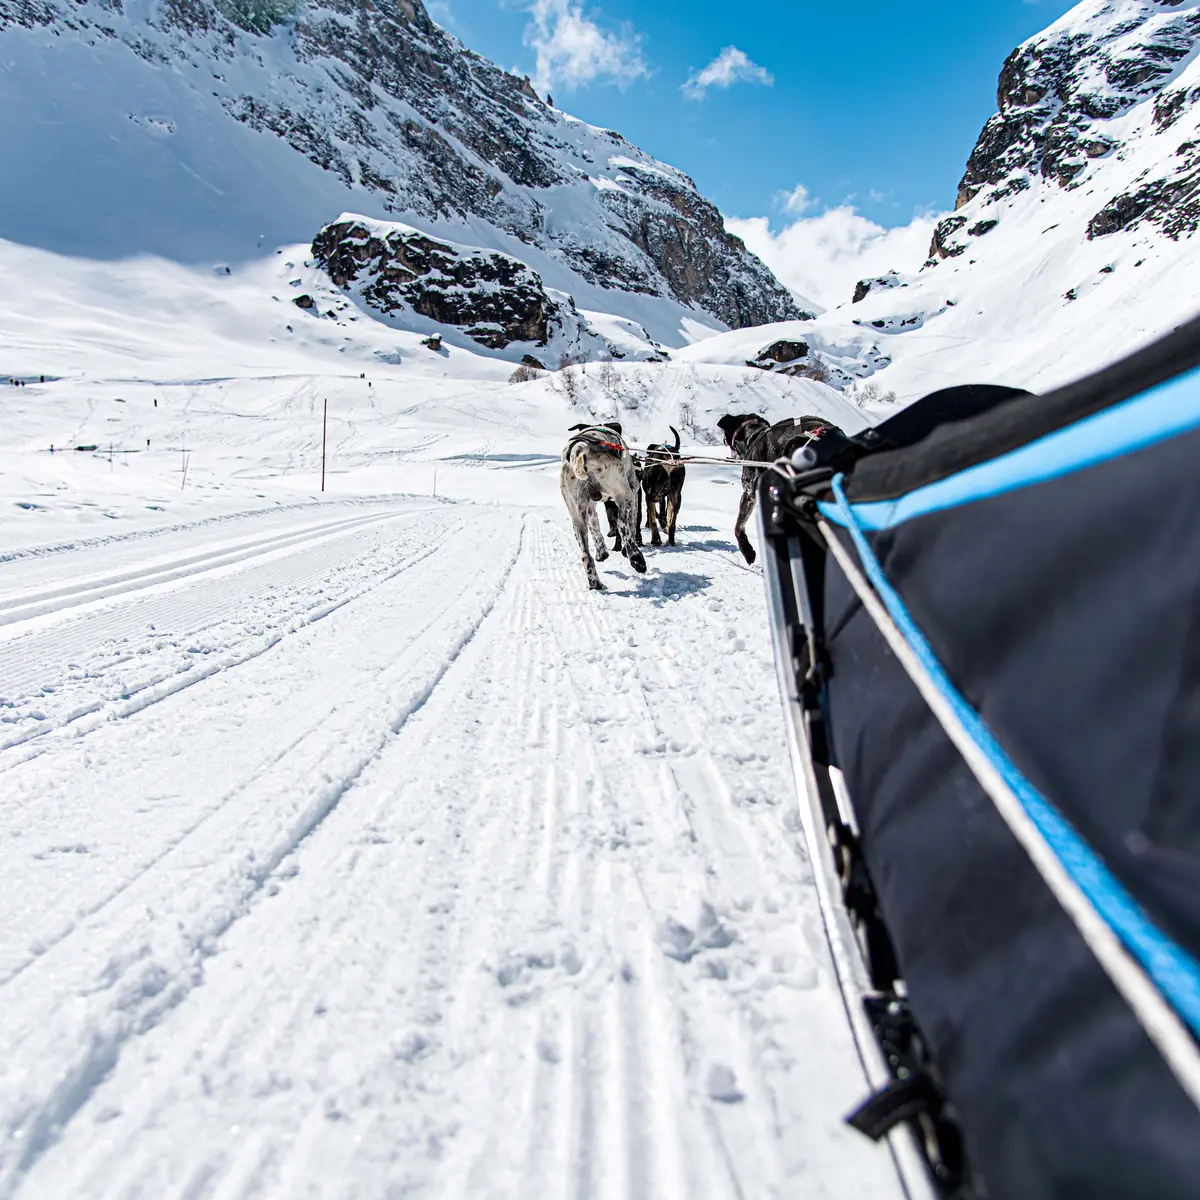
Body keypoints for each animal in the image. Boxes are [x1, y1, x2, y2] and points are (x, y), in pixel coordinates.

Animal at [561, 422, 648, 590]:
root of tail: (580, 450)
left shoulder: (589, 510)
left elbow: (595, 527)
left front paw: (602, 552)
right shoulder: (634, 494)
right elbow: (631, 525)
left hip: (577, 515)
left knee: (585, 555)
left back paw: (595, 582)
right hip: (624, 494)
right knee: (621, 524)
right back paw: (636, 558)